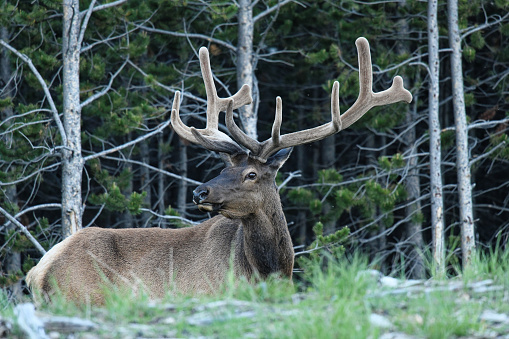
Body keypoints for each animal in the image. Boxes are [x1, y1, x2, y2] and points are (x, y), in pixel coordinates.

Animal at [25, 37, 410, 306]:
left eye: (251, 174)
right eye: (226, 168)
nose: (200, 192)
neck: (269, 270)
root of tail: (38, 272)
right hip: (84, 299)